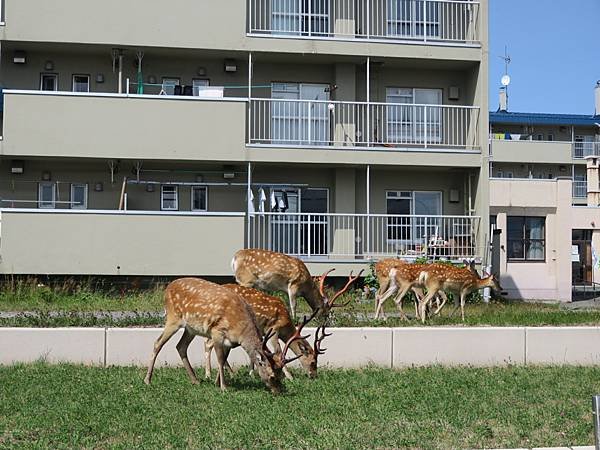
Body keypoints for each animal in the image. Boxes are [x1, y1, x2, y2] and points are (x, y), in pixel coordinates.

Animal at [144, 278, 298, 394]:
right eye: (272, 376)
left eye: (281, 376)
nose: (278, 391)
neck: (241, 331)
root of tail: (167, 288)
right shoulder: (217, 332)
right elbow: (219, 358)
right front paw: (224, 387)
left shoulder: (230, 342)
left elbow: (223, 359)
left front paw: (217, 382)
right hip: (173, 318)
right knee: (158, 343)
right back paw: (147, 380)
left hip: (191, 329)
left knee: (181, 346)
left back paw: (195, 380)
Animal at [230, 248, 360, 318]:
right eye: (326, 312)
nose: (325, 321)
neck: (306, 287)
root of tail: (234, 258)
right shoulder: (293, 284)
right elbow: (293, 305)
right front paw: (294, 320)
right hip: (246, 280)